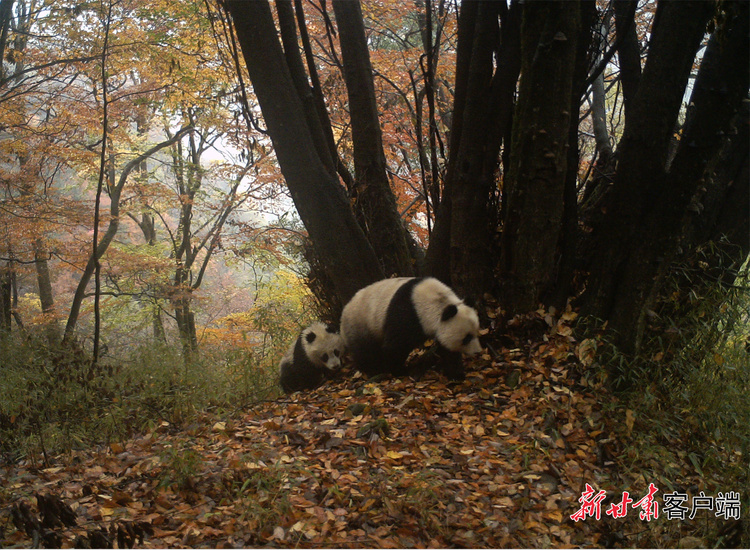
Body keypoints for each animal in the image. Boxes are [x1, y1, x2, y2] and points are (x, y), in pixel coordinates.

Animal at [340, 278, 482, 382]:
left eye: (476, 333)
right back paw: (373, 370)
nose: (478, 352)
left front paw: (456, 374)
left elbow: (448, 349)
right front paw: (399, 371)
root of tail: (343, 312)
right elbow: (395, 346)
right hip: (360, 324)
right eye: (467, 338)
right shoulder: (407, 315)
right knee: (365, 350)